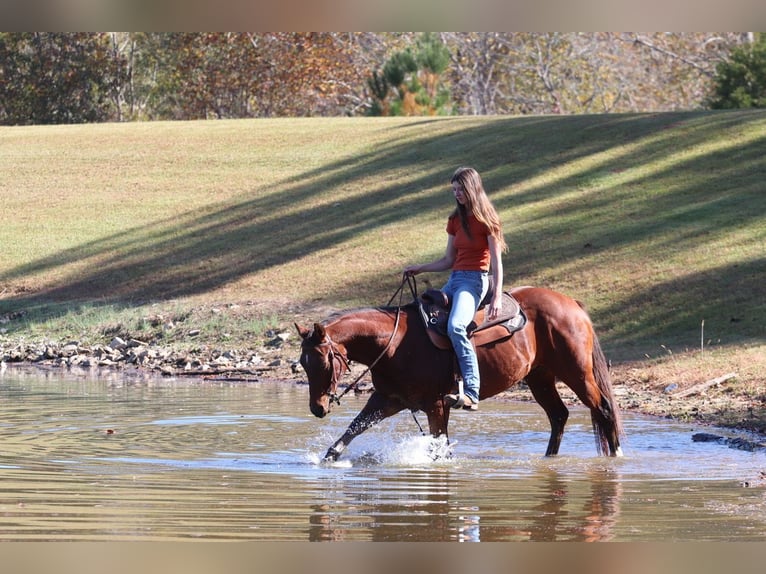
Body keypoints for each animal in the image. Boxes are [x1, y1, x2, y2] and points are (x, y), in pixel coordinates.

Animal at [294, 286, 624, 464]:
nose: (317, 408)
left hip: (575, 371)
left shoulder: (437, 404)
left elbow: (440, 449)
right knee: (558, 415)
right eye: (303, 363)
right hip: (539, 377)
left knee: (604, 408)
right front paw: (327, 459)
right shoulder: (388, 400)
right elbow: (352, 430)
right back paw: (549, 459)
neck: (394, 343)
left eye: (323, 362)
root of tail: (571, 304)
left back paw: (617, 457)